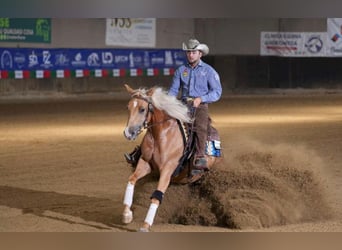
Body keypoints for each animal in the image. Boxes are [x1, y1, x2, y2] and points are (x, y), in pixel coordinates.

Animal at [122, 84, 222, 232]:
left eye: (142, 109)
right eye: (128, 107)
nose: (128, 133)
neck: (161, 135)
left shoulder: (167, 169)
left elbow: (157, 196)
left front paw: (145, 225)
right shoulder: (145, 162)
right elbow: (132, 179)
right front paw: (127, 215)